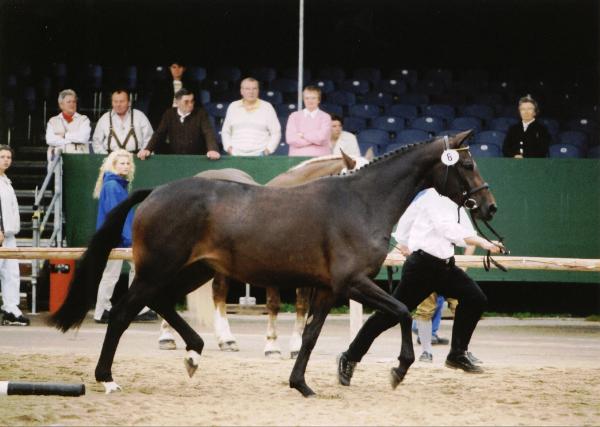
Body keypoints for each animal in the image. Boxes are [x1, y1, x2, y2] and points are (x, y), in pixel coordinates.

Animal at [48, 130, 496, 398]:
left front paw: (302, 385)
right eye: (468, 164)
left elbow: (311, 336)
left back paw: (194, 354)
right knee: (124, 311)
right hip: (161, 270)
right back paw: (108, 378)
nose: (489, 206)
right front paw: (399, 369)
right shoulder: (352, 283)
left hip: (193, 271)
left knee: (158, 304)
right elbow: (401, 310)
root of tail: (155, 191)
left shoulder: (327, 289)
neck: (360, 201)